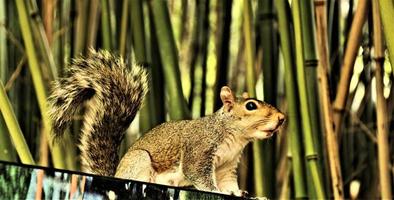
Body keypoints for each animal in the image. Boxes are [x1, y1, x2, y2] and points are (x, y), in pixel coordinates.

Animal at [49, 49, 284, 196]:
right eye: (251, 106)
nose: (282, 118)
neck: (233, 136)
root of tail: (115, 177)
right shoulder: (199, 150)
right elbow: (197, 173)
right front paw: (214, 190)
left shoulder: (227, 166)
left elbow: (228, 183)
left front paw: (238, 192)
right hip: (140, 162)